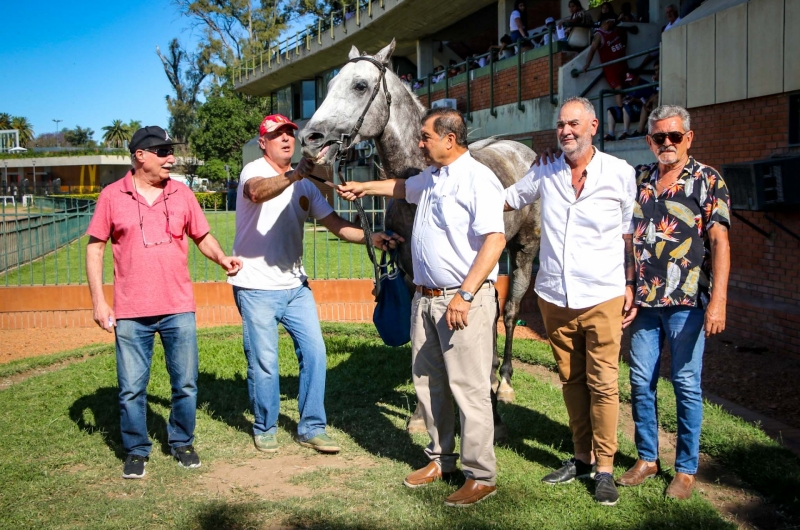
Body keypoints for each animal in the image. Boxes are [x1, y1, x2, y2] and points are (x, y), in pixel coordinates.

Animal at [300, 38, 544, 434]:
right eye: (331, 83)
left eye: (360, 86)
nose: (310, 138)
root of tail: (523, 150)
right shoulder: (411, 275)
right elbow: (420, 340)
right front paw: (419, 414)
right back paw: (492, 372)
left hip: (524, 248)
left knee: (509, 312)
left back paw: (504, 381)